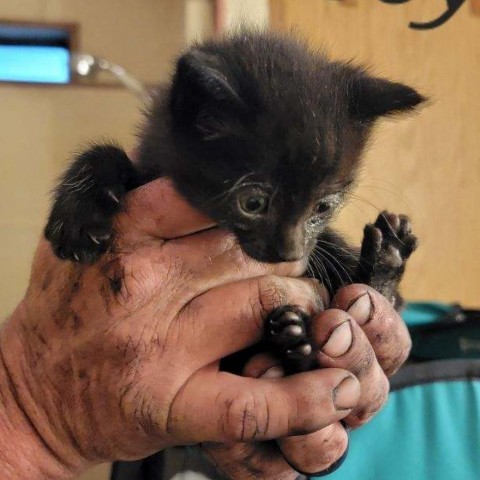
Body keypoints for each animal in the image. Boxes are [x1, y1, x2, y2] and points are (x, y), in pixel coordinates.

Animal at [43, 31, 422, 374]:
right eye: (252, 203)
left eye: (322, 206)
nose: (290, 253)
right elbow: (105, 153)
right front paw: (77, 219)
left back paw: (382, 265)